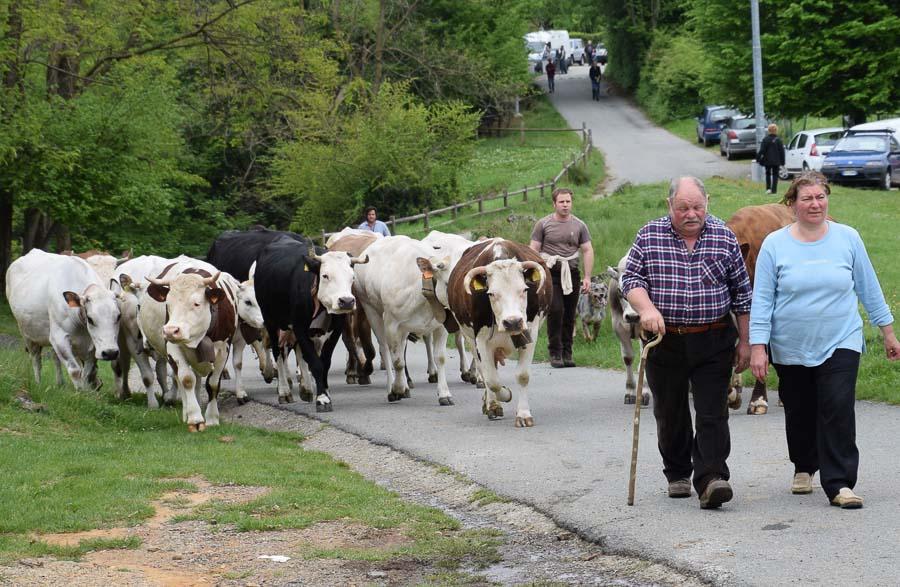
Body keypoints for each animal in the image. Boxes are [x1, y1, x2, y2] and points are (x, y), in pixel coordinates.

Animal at [6, 248, 121, 390]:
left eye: (118, 316)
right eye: (90, 319)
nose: (110, 353)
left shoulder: (93, 346)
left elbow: (87, 372)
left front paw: (88, 392)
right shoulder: (59, 337)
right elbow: (75, 371)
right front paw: (80, 392)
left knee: (55, 358)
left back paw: (60, 383)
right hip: (27, 334)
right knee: (36, 359)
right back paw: (38, 383)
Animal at [350, 237, 450, 406]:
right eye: (449, 283)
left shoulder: (441, 326)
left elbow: (440, 358)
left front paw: (444, 394)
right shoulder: (391, 323)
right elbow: (397, 361)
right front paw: (396, 390)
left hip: (404, 327)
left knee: (401, 348)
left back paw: (405, 387)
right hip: (372, 310)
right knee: (385, 349)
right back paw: (392, 388)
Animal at [442, 239, 548, 428]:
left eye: (524, 290)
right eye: (491, 293)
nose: (512, 322)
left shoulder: (530, 333)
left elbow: (522, 375)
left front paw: (523, 414)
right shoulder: (481, 340)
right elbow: (492, 380)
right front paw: (502, 397)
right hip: (470, 339)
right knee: (484, 371)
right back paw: (491, 404)